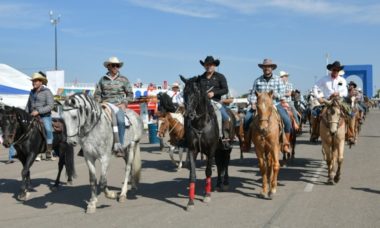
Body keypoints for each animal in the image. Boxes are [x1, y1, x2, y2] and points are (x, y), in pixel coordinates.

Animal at [181, 75, 220, 210]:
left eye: (196, 92)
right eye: (184, 93)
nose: (189, 114)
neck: (200, 124)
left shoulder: (212, 149)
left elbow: (208, 171)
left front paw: (207, 195)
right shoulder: (192, 150)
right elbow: (192, 175)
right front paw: (190, 202)